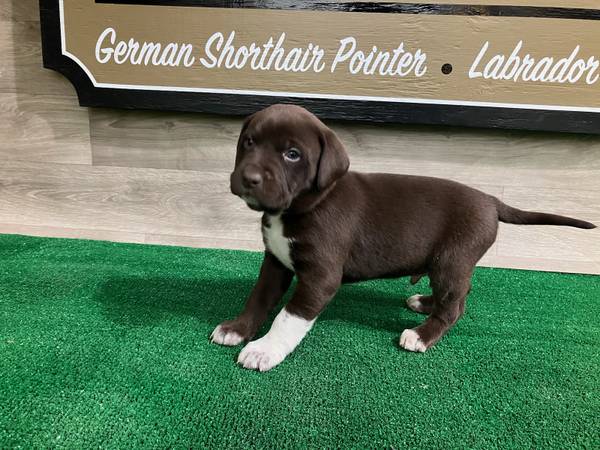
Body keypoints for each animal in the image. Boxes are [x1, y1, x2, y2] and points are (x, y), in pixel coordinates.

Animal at [211, 103, 596, 370]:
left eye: (292, 154)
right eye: (249, 142)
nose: (248, 177)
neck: (296, 208)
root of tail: (490, 200)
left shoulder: (320, 276)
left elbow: (288, 317)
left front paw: (265, 349)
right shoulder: (275, 262)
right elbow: (259, 298)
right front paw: (238, 329)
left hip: (451, 259)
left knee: (455, 305)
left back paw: (423, 335)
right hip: (449, 264)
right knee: (460, 293)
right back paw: (425, 303)